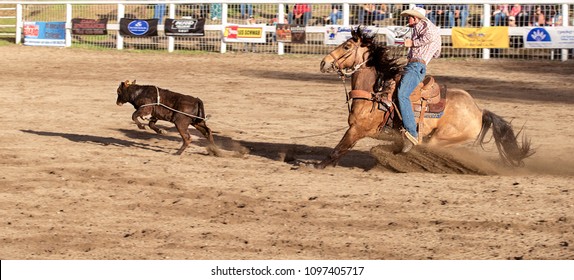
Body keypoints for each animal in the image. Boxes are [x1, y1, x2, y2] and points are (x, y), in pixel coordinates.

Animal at [318, 27, 532, 170]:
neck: (374, 92)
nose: (323, 63)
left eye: (346, 46)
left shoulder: (357, 129)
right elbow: (342, 150)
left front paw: (319, 165)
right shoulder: (355, 130)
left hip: (440, 139)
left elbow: (338, 148)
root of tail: (479, 111)